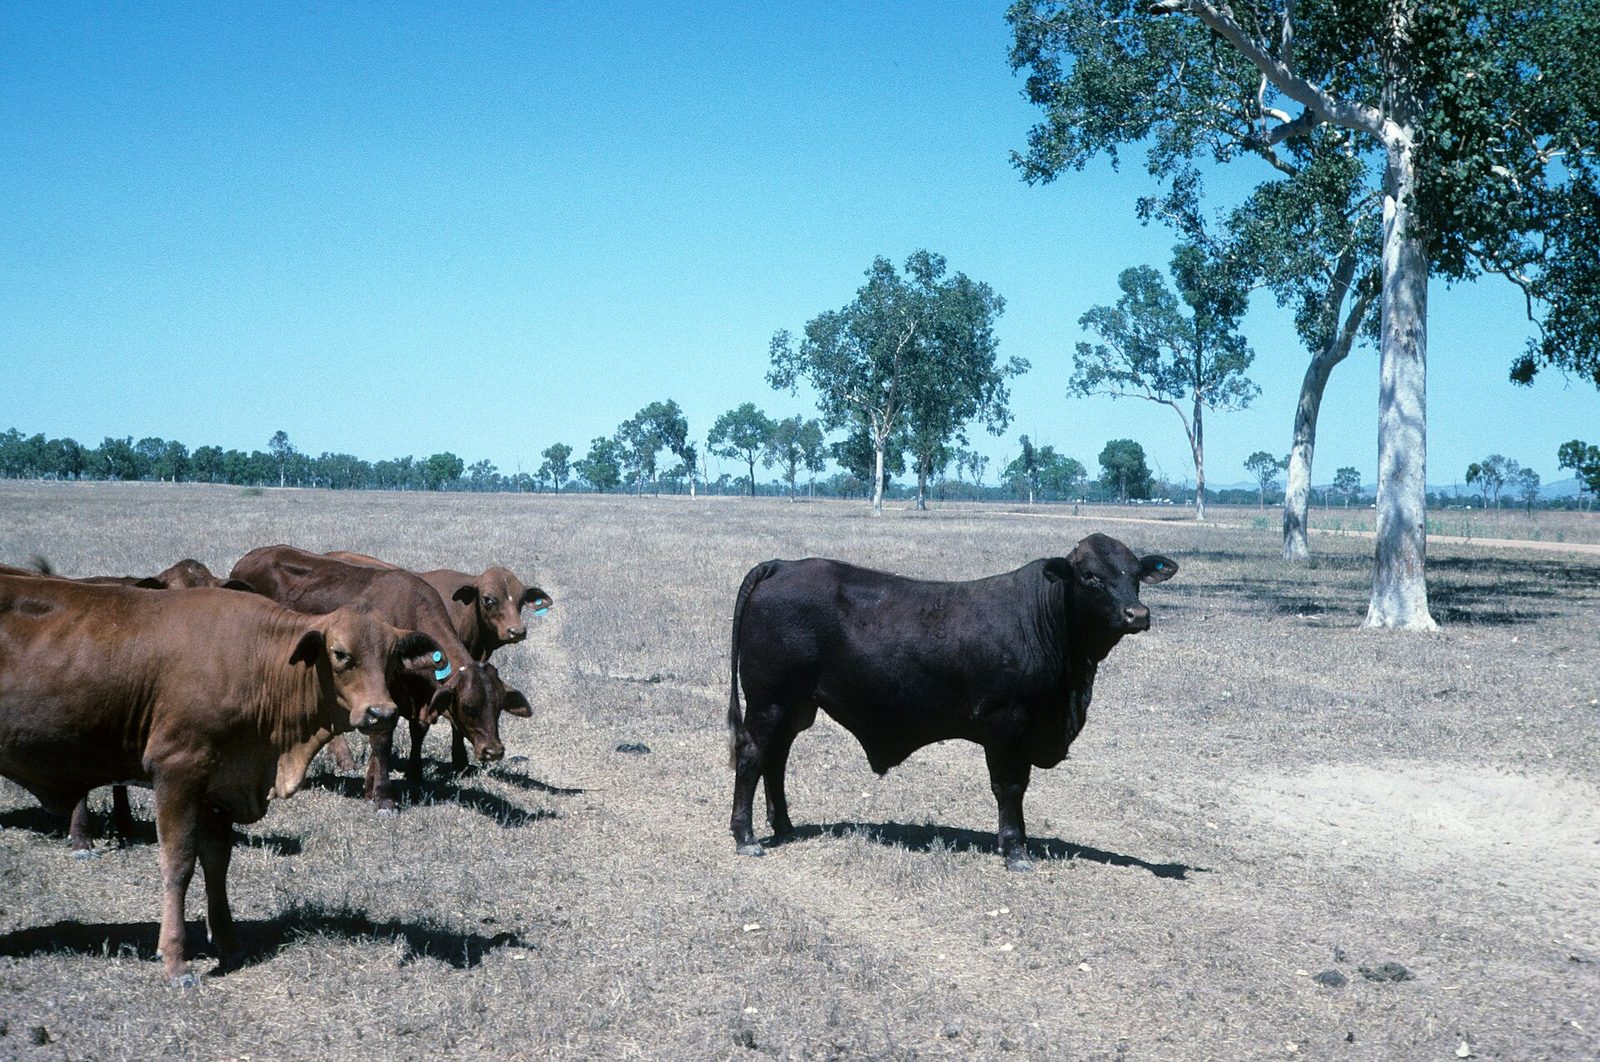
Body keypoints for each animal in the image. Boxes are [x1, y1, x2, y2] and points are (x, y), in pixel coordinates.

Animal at [0, 572, 443, 983]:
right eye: (340, 654)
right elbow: (178, 864)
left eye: (391, 657)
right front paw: (176, 959)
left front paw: (228, 942)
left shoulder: (221, 786)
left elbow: (216, 862)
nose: (381, 713)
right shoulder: (176, 773)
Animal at [229, 546, 530, 808]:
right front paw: (382, 794)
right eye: (468, 706)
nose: (493, 751)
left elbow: (414, 731)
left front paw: (404, 775)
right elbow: (382, 740)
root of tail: (249, 558)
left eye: (499, 707)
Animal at [726, 533, 1177, 871]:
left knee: (776, 758)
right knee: (752, 755)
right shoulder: (1007, 723)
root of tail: (782, 565)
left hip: (795, 707)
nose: (1137, 614)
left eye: (1135, 575)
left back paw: (784, 826)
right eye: (1090, 577)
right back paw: (746, 837)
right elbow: (1010, 786)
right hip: (769, 702)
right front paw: (1015, 850)